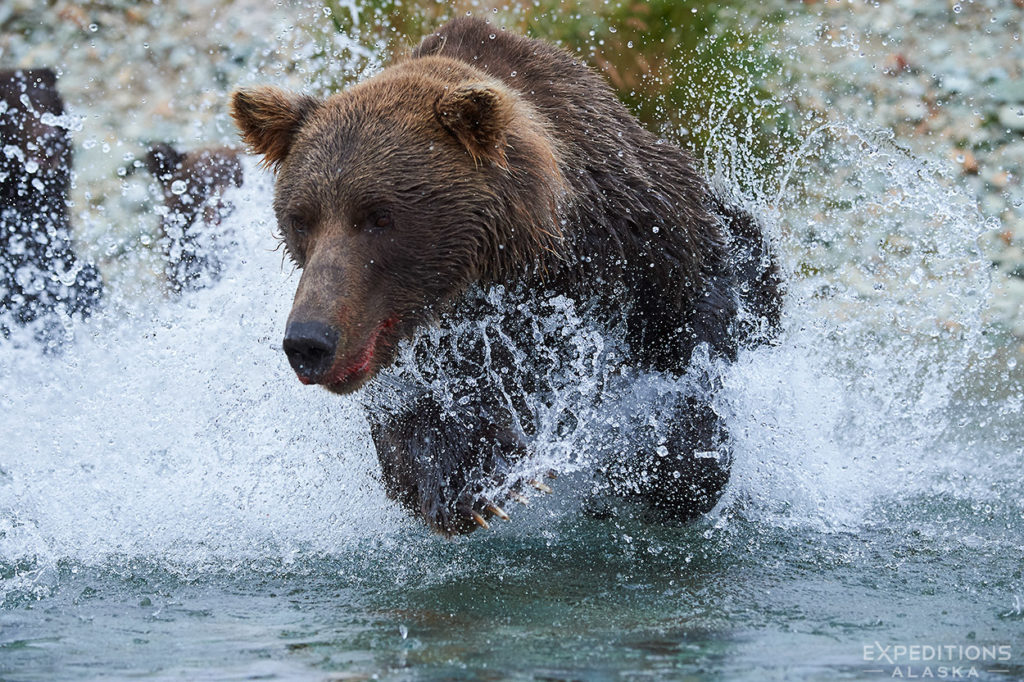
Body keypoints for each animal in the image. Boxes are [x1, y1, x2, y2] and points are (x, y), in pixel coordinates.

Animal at [230, 18, 774, 532]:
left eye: (379, 216)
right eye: (300, 218)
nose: (309, 341)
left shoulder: (645, 238)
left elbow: (699, 332)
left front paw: (660, 463)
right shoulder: (433, 343)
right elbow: (421, 424)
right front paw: (468, 484)